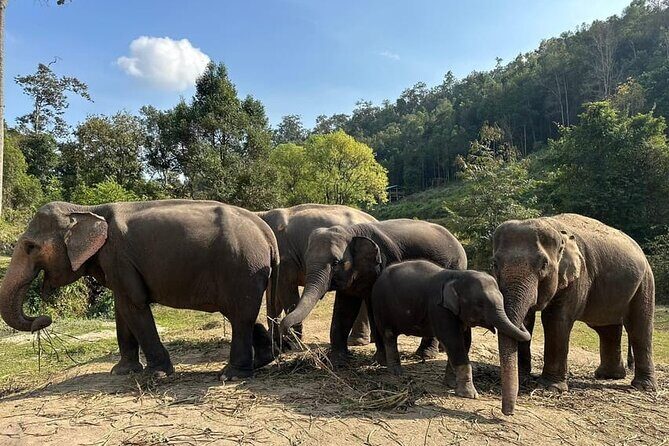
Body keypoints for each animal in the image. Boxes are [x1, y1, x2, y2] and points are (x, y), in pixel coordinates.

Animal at [0, 200, 280, 381]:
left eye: (30, 247)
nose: (44, 318)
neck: (87, 210)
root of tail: (267, 233)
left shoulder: (118, 257)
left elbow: (133, 305)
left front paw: (156, 375)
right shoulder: (116, 264)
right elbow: (121, 308)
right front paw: (121, 371)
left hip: (242, 268)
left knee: (239, 316)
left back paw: (230, 375)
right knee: (241, 315)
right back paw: (261, 361)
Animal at [256, 204, 377, 347]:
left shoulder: (285, 257)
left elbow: (286, 289)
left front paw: (292, 341)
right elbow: (272, 294)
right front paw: (273, 339)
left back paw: (355, 341)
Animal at [279, 218, 468, 365]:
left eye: (336, 263)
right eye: (305, 260)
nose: (286, 335)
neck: (351, 232)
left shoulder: (383, 263)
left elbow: (374, 307)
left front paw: (380, 361)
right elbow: (344, 308)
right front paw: (338, 361)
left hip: (453, 267)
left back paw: (425, 355)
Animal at [371, 260, 531, 398]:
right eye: (479, 304)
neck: (457, 276)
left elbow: (464, 342)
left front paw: (451, 384)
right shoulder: (439, 307)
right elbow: (452, 341)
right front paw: (470, 395)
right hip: (380, 305)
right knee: (389, 335)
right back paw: (396, 372)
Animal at [493, 213, 656, 415]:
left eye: (544, 264)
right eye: (494, 263)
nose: (508, 412)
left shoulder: (578, 277)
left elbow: (556, 320)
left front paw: (550, 388)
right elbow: (528, 319)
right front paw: (523, 376)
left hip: (645, 283)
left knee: (639, 328)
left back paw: (642, 387)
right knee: (607, 329)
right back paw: (608, 375)